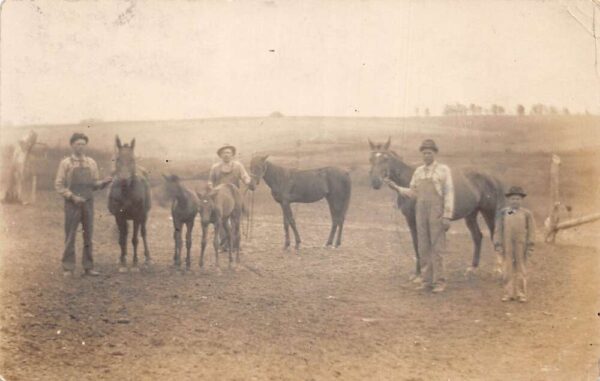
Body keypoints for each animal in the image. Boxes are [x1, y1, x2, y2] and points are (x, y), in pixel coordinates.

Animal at [109, 135, 154, 272]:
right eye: (118, 159)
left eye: (132, 159)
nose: (124, 180)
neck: (126, 193)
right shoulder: (119, 217)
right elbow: (122, 239)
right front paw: (123, 262)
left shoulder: (137, 217)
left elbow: (135, 239)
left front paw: (134, 263)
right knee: (124, 235)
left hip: (144, 216)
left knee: (143, 233)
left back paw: (147, 258)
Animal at [368, 138, 504, 274]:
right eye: (371, 159)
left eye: (386, 158)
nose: (375, 182)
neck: (409, 181)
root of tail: (491, 177)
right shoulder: (410, 219)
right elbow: (416, 243)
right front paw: (418, 272)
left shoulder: (417, 219)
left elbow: (420, 244)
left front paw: (421, 273)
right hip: (471, 214)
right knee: (477, 236)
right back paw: (473, 267)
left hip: (488, 212)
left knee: (495, 236)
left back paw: (499, 269)